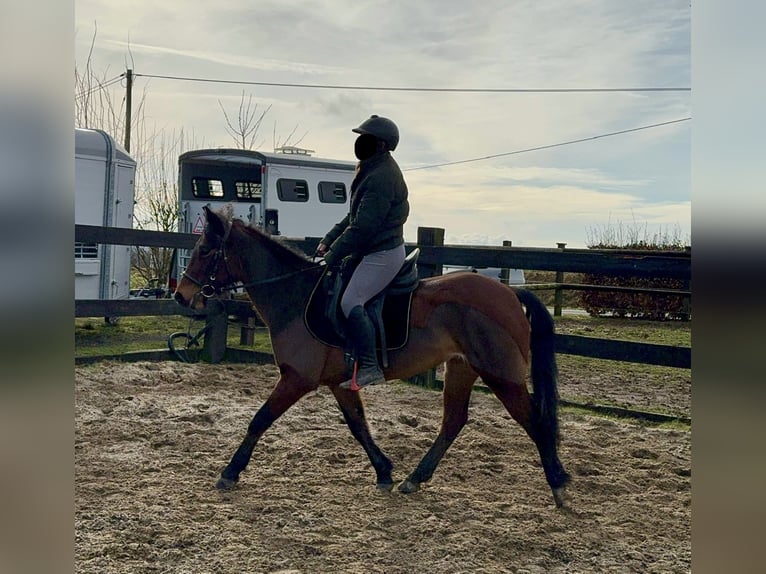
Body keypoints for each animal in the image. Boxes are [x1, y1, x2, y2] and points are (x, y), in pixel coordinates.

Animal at [174, 207, 568, 508]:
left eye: (206, 250)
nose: (181, 295)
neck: (296, 295)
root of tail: (510, 293)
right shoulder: (339, 383)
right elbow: (358, 426)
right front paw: (384, 471)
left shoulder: (296, 379)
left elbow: (259, 420)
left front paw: (230, 472)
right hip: (462, 369)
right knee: (454, 421)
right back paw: (414, 479)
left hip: (502, 376)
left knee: (534, 422)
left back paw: (559, 484)